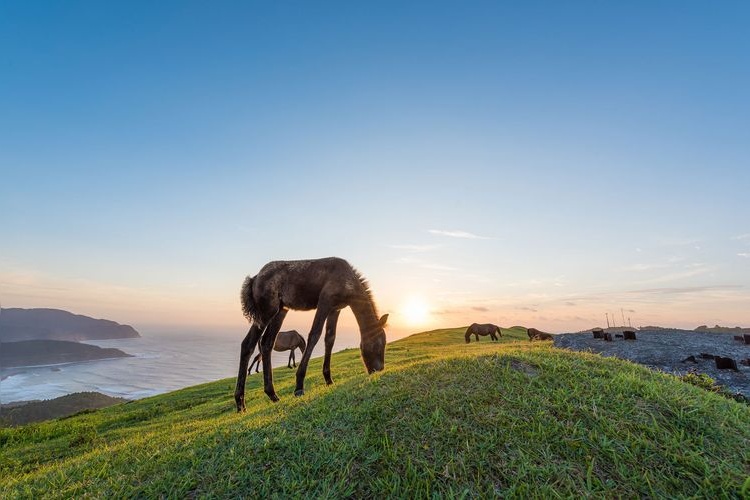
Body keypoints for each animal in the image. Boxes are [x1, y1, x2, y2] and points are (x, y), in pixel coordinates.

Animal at [235, 256, 388, 412]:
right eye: (379, 345)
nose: (379, 369)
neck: (348, 281)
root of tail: (255, 278)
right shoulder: (325, 301)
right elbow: (314, 334)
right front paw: (299, 386)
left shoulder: (335, 309)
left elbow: (330, 338)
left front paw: (328, 379)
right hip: (267, 311)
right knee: (248, 344)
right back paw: (240, 403)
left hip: (281, 310)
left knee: (267, 343)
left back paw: (272, 394)